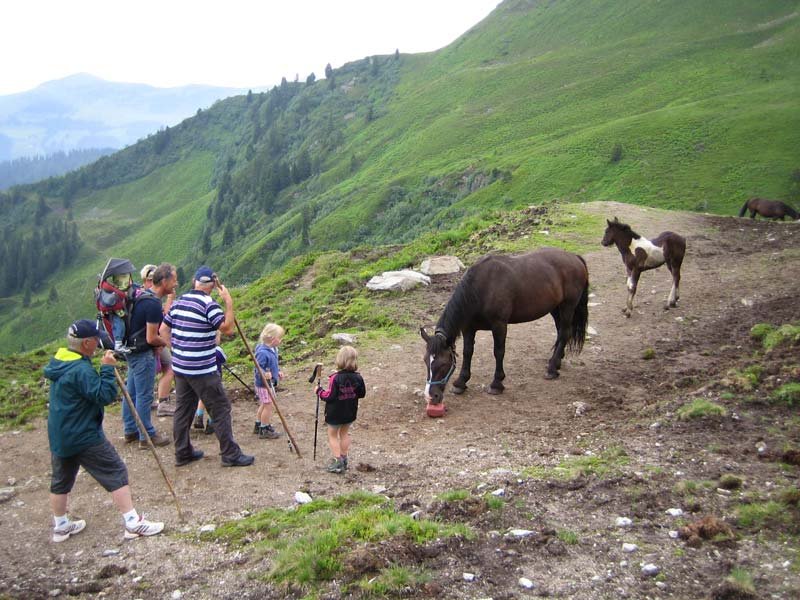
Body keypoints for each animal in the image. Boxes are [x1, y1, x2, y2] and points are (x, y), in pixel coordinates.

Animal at [422, 246, 592, 406]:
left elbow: (498, 352)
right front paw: (460, 383)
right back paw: (556, 361)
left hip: (568, 306)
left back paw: (552, 369)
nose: (431, 397)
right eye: (425, 361)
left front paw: (496, 384)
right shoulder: (468, 328)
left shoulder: (499, 325)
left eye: (443, 363)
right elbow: (467, 352)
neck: (482, 288)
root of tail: (574, 257)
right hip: (555, 308)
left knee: (564, 332)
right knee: (561, 331)